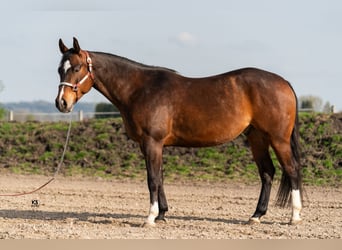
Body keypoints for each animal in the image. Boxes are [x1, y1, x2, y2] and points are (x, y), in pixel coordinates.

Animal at [54, 37, 304, 227]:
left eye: (76, 68)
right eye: (59, 70)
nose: (61, 103)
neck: (140, 89)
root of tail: (283, 82)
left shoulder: (152, 142)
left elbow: (153, 179)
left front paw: (150, 218)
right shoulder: (152, 145)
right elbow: (160, 177)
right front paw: (162, 214)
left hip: (278, 139)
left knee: (291, 170)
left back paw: (294, 217)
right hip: (257, 138)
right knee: (267, 172)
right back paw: (256, 216)